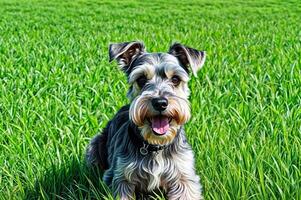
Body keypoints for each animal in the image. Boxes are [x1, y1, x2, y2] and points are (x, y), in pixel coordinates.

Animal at [85, 41, 205, 199]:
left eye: (175, 79)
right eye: (141, 79)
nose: (160, 102)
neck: (155, 145)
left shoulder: (184, 178)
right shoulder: (120, 178)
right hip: (95, 144)